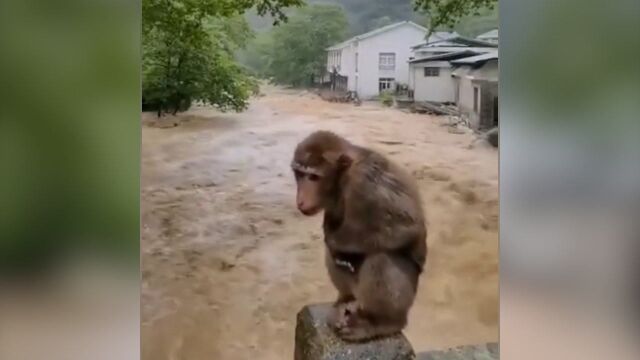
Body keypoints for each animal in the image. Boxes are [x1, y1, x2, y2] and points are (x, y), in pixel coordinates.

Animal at [292, 131, 428, 342]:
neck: (343, 180)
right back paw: (346, 299)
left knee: (381, 257)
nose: (300, 200)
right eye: (299, 174)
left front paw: (336, 241)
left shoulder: (365, 182)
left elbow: (407, 226)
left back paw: (383, 322)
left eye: (313, 177)